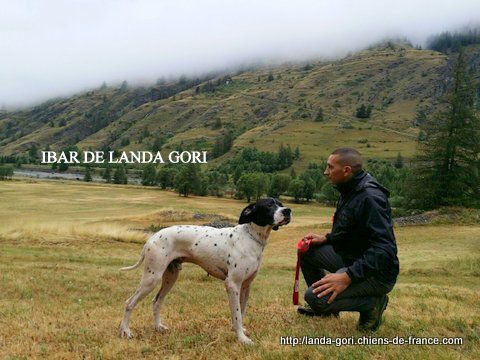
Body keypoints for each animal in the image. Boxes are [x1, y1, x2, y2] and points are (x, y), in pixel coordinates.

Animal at [120, 198, 292, 344]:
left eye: (280, 203)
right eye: (269, 205)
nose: (288, 211)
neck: (250, 237)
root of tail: (153, 237)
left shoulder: (245, 286)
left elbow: (241, 312)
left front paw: (240, 332)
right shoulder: (232, 284)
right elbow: (236, 314)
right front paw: (242, 339)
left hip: (170, 277)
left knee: (156, 302)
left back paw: (158, 327)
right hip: (151, 278)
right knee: (129, 303)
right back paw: (125, 332)